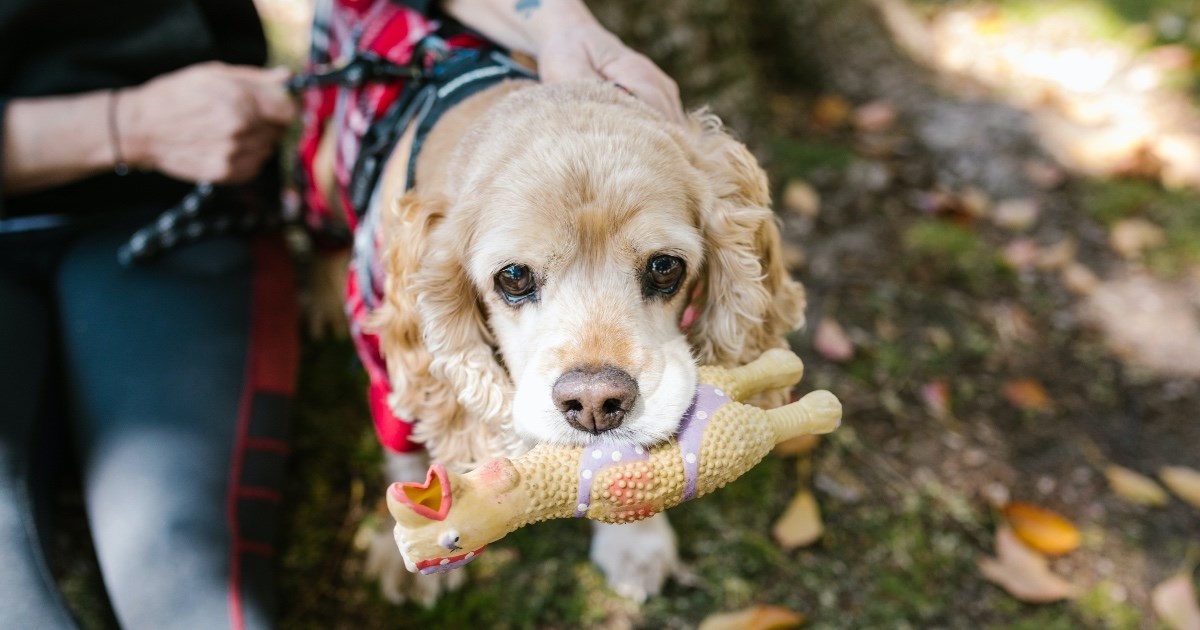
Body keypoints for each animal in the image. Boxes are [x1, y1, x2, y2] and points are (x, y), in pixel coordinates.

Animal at [300, 15, 806, 604]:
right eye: (514, 277)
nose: (594, 403)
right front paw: (405, 542)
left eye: (665, 267)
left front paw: (636, 545)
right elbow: (407, 444)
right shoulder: (392, 360)